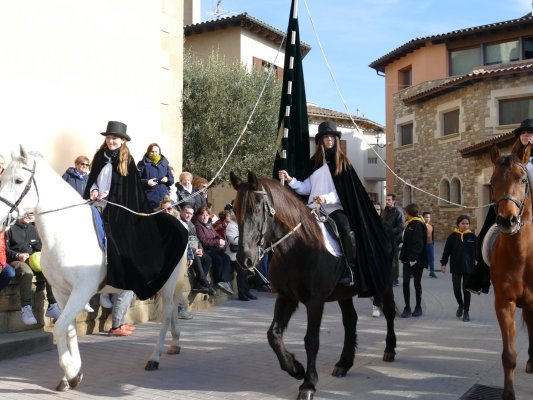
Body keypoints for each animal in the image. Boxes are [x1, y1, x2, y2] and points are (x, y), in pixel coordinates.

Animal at [0, 147, 185, 390]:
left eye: (19, 180)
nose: (1, 218)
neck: (65, 233)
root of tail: (180, 222)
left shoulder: (82, 290)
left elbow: (59, 328)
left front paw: (71, 373)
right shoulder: (61, 291)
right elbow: (68, 328)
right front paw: (73, 374)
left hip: (167, 282)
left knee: (167, 313)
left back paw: (154, 357)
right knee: (171, 312)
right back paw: (175, 343)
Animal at [229, 170, 394, 400]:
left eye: (256, 209)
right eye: (235, 210)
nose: (245, 259)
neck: (296, 248)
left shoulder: (315, 301)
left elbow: (311, 340)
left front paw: (308, 384)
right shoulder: (286, 297)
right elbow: (273, 335)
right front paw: (295, 368)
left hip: (384, 283)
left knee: (389, 313)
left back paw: (390, 350)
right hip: (344, 293)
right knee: (350, 320)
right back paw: (344, 363)